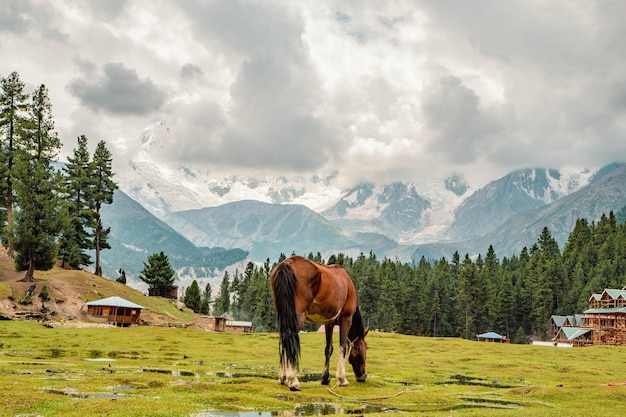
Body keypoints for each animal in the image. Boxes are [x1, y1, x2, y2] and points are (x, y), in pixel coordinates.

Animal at [268, 254, 366, 390]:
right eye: (365, 348)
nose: (363, 376)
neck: (347, 283)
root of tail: (287, 264)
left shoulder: (329, 323)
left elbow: (328, 349)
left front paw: (325, 378)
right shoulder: (346, 318)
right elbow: (343, 347)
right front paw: (342, 379)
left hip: (282, 316)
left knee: (283, 342)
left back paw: (282, 377)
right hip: (296, 318)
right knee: (289, 340)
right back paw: (293, 380)